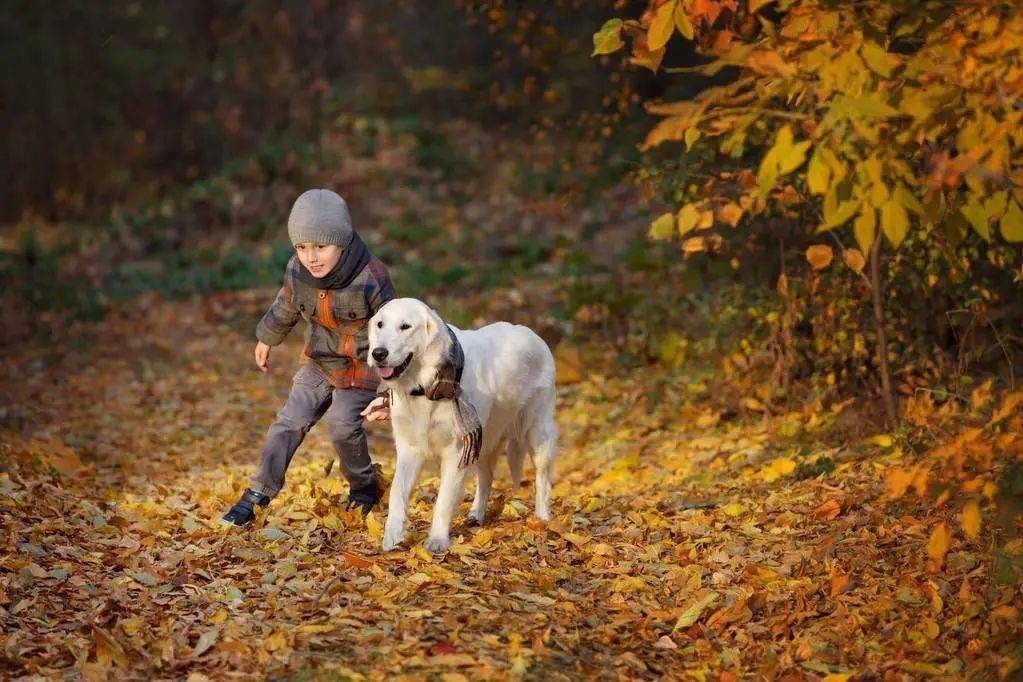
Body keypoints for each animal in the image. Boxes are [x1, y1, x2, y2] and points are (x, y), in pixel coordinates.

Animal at [368, 298, 556, 556]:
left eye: (405, 326)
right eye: (380, 324)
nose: (378, 353)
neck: (425, 386)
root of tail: (534, 334)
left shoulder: (456, 451)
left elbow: (444, 500)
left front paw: (437, 540)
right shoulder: (409, 449)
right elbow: (397, 492)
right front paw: (392, 536)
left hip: (536, 432)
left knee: (542, 478)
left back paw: (542, 517)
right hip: (486, 440)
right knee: (486, 477)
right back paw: (476, 515)